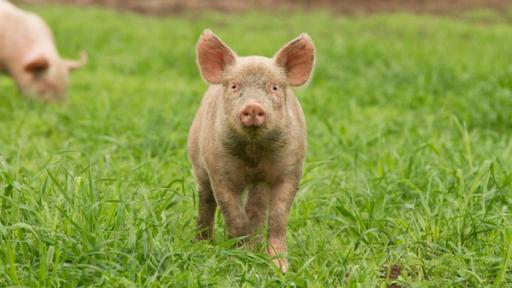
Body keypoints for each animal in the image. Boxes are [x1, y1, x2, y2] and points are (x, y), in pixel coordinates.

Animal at [189, 29, 316, 272]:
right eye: (234, 86)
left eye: (274, 87)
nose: (253, 107)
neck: (253, 153)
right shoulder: (219, 172)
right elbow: (235, 217)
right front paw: (237, 259)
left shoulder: (291, 169)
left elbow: (277, 218)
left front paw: (280, 267)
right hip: (197, 163)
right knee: (206, 201)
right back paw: (202, 244)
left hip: (261, 184)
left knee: (256, 209)